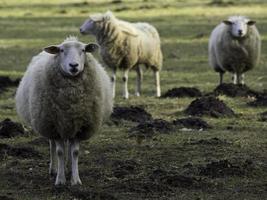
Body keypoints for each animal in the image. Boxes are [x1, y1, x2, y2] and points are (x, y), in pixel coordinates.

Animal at [14, 36, 113, 186]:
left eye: (83, 50)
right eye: (61, 50)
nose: (74, 65)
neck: (71, 102)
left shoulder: (79, 127)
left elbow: (75, 152)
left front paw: (75, 179)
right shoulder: (55, 127)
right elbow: (60, 152)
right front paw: (60, 180)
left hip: (69, 126)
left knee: (69, 147)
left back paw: (69, 168)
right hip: (51, 125)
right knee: (52, 147)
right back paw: (54, 169)